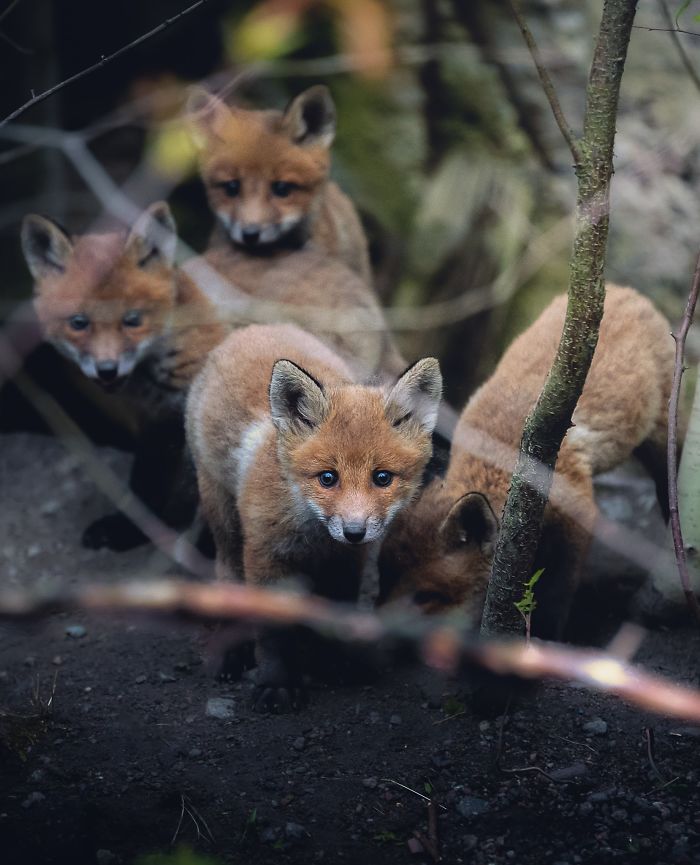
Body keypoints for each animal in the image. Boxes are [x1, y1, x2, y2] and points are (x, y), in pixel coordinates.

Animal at [21, 201, 227, 551]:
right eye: (79, 323)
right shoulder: (154, 422)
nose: (107, 369)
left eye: (132, 320)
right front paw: (130, 529)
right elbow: (146, 483)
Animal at [186, 322, 442, 708]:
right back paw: (232, 649)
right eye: (328, 478)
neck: (315, 536)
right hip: (224, 519)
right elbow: (274, 633)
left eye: (382, 478)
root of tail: (255, 328)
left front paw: (333, 662)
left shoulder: (348, 562)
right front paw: (278, 681)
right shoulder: (265, 554)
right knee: (227, 574)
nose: (354, 531)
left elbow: (335, 612)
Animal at [379, 285, 675, 638]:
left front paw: (545, 637)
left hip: (661, 433)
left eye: (426, 596)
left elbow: (556, 597)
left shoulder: (577, 514)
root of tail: (623, 289)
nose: (370, 636)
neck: (505, 461)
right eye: (383, 583)